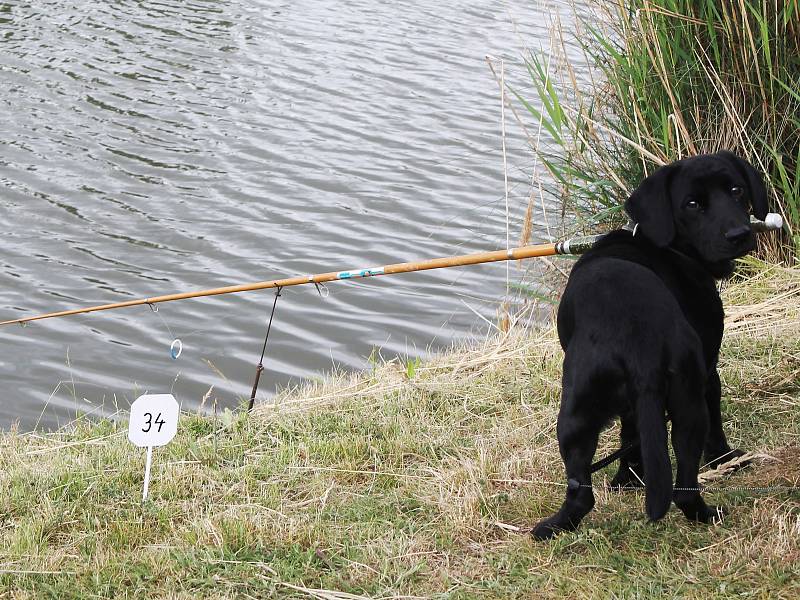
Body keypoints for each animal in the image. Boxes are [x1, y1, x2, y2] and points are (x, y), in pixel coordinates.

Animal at [532, 150, 768, 540]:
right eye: (692, 204)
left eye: (736, 190)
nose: (739, 234)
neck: (671, 248)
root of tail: (638, 336)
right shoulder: (709, 369)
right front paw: (725, 460)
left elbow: (633, 435)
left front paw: (629, 478)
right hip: (687, 406)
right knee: (681, 487)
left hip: (578, 415)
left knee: (584, 493)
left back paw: (555, 526)